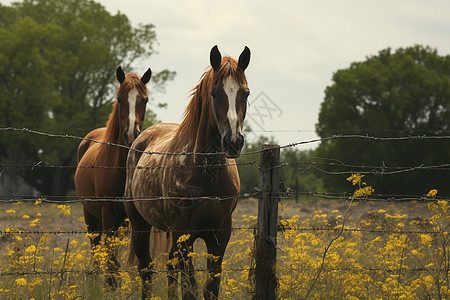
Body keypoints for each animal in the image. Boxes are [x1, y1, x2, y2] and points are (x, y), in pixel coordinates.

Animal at [74, 66, 151, 288]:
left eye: (145, 100)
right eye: (119, 98)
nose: (132, 134)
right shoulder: (108, 213)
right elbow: (110, 261)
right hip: (90, 215)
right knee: (95, 246)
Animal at [125, 45, 251, 300]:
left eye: (246, 93)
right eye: (214, 93)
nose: (233, 142)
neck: (207, 173)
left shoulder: (219, 236)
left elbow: (210, 288)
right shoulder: (185, 235)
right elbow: (190, 287)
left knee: (170, 269)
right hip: (140, 225)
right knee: (146, 269)